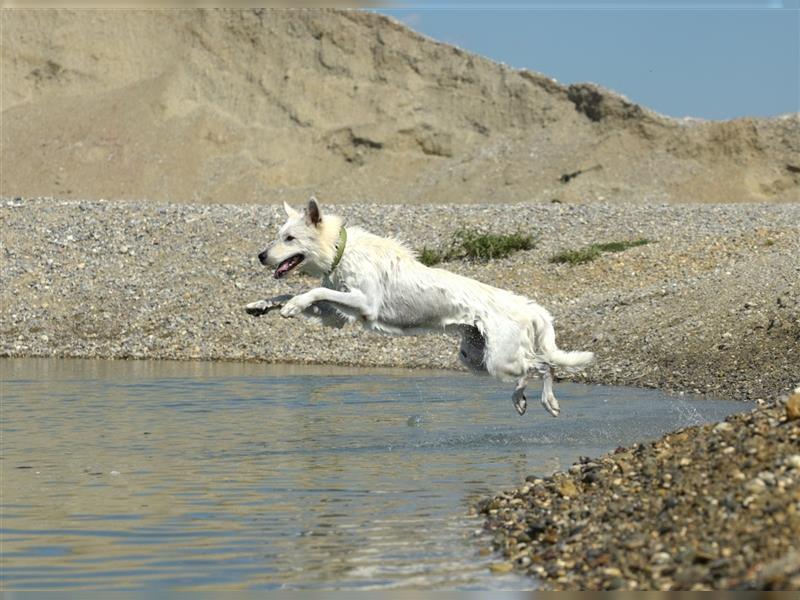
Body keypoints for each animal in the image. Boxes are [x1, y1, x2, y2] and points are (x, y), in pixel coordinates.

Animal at [245, 199, 592, 414]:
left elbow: (313, 289)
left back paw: (549, 401)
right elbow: (298, 293)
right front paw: (261, 305)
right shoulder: (337, 314)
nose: (261, 256)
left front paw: (293, 305)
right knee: (528, 369)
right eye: (279, 236)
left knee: (544, 365)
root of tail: (529, 307)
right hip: (476, 358)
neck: (341, 250)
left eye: (289, 238)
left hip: (499, 360)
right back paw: (520, 400)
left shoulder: (364, 302)